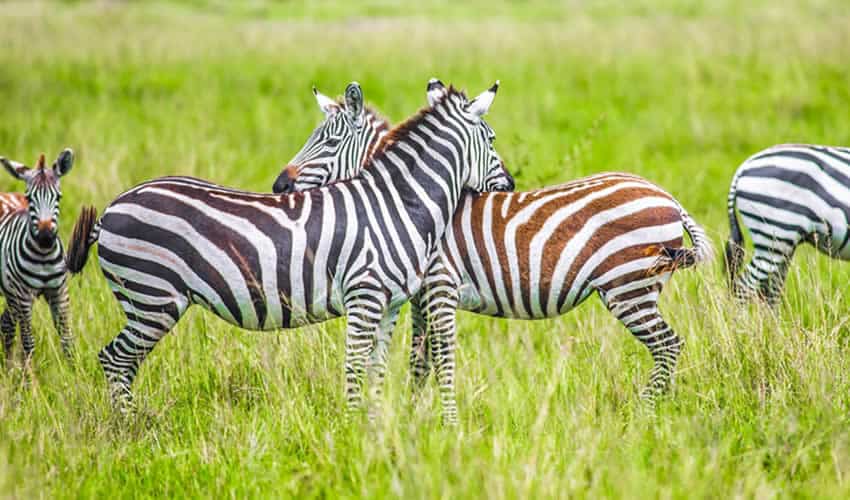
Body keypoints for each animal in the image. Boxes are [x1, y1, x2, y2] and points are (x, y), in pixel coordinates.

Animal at [0, 149, 76, 364]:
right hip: (14, 293)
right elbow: (28, 342)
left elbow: (67, 339)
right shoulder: (24, 296)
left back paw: (8, 367)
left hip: (11, 294)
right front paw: (29, 375)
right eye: (29, 198)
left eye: (58, 197)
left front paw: (75, 370)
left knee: (6, 323)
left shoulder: (60, 293)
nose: (45, 238)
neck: (44, 257)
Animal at [66, 82, 514, 416]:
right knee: (115, 360)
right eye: (492, 139)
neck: (397, 203)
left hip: (145, 300)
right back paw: (129, 430)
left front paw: (374, 428)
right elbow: (355, 370)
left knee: (117, 362)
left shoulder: (391, 304)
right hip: (152, 298)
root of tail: (114, 206)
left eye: (329, 141)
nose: (510, 184)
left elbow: (377, 371)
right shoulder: (365, 296)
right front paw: (354, 433)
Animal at [274, 79, 713, 414]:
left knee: (668, 345)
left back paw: (645, 412)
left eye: (328, 143)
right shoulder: (418, 296)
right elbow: (419, 361)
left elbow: (437, 357)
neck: (408, 199)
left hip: (629, 288)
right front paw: (415, 418)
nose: (279, 185)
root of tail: (668, 197)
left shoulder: (439, 285)